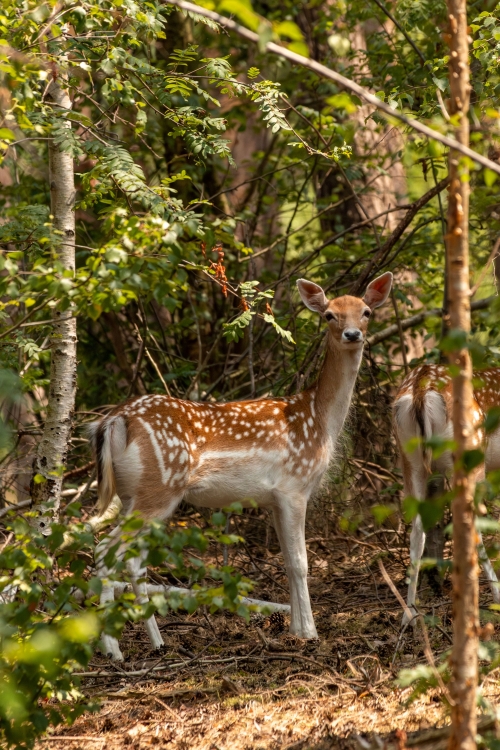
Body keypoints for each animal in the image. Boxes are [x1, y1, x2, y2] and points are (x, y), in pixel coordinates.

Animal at [394, 364, 500, 628]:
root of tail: (420, 388)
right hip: (469, 455)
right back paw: (494, 596)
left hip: (410, 460)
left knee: (417, 531)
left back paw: (410, 614)